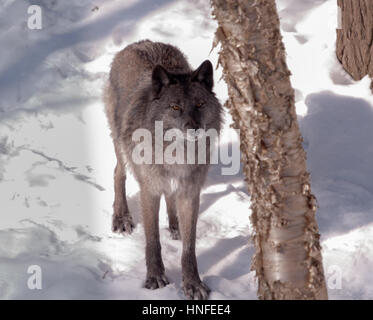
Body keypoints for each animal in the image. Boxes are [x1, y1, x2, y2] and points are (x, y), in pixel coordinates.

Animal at [103, 40, 222, 300]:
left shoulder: (190, 192)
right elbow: (152, 240)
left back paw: (174, 226)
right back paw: (121, 218)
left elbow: (189, 247)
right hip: (121, 147)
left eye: (200, 104)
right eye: (175, 107)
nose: (194, 128)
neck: (177, 154)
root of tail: (138, 43)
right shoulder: (150, 190)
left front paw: (193, 284)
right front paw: (155, 278)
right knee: (117, 173)